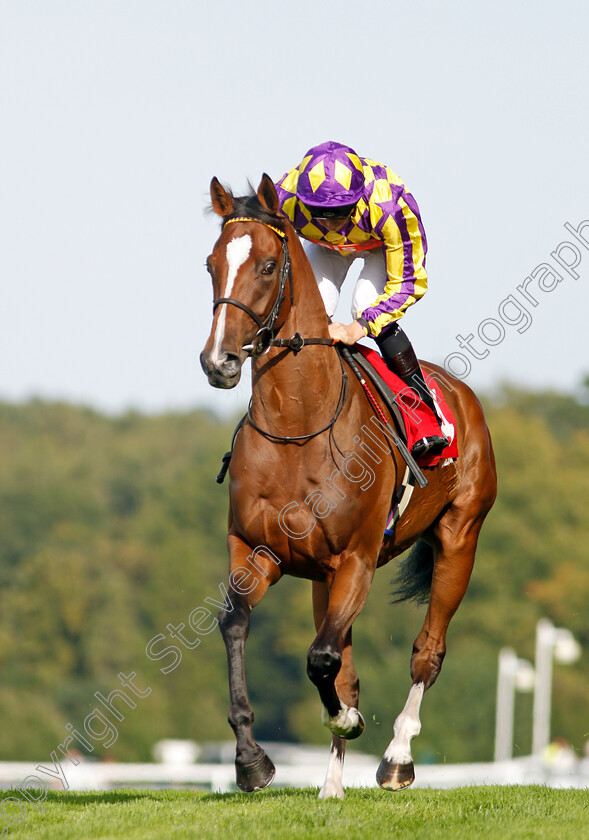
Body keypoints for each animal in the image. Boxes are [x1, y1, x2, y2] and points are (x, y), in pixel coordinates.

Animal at [199, 174, 496, 796]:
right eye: (211, 264)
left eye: (268, 266)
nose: (219, 362)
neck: (296, 427)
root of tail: (459, 391)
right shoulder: (258, 552)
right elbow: (238, 625)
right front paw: (251, 760)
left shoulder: (356, 558)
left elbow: (322, 660)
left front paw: (347, 720)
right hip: (321, 577)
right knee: (343, 661)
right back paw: (332, 784)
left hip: (460, 538)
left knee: (426, 653)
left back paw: (398, 757)